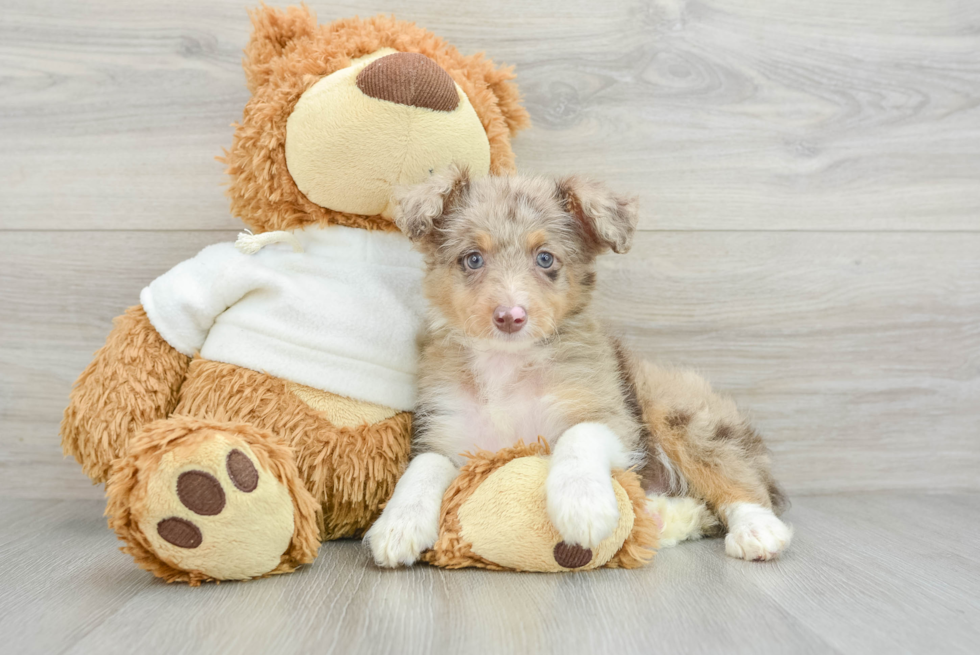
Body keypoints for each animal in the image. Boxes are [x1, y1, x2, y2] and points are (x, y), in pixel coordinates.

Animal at [364, 168, 792, 568]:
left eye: (545, 258)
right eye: (472, 258)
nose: (510, 317)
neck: (506, 364)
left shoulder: (617, 421)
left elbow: (580, 434)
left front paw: (583, 504)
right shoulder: (449, 430)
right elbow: (424, 465)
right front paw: (398, 525)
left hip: (676, 414)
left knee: (740, 479)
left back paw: (758, 529)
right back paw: (659, 518)